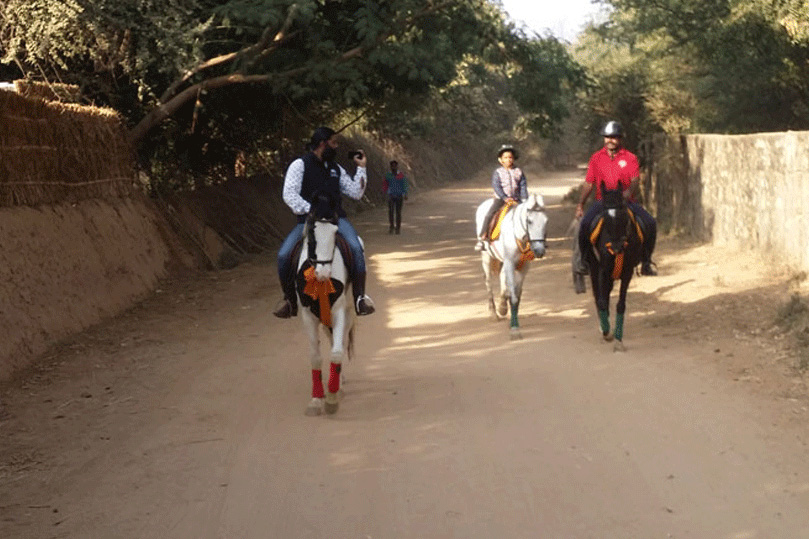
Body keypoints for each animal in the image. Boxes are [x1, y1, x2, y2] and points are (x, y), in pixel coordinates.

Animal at [292, 199, 352, 418]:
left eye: (335, 234)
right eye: (311, 236)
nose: (323, 273)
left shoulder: (338, 311)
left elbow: (336, 352)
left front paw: (332, 398)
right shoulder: (308, 315)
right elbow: (315, 357)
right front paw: (316, 400)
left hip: (349, 311)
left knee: (341, 342)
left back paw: (339, 385)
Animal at [474, 192, 548, 340]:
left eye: (546, 221)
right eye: (529, 221)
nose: (539, 251)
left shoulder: (523, 267)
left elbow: (517, 297)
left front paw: (510, 318)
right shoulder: (509, 262)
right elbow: (513, 297)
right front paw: (515, 330)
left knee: (502, 279)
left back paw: (502, 307)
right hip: (486, 257)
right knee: (488, 282)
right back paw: (494, 313)